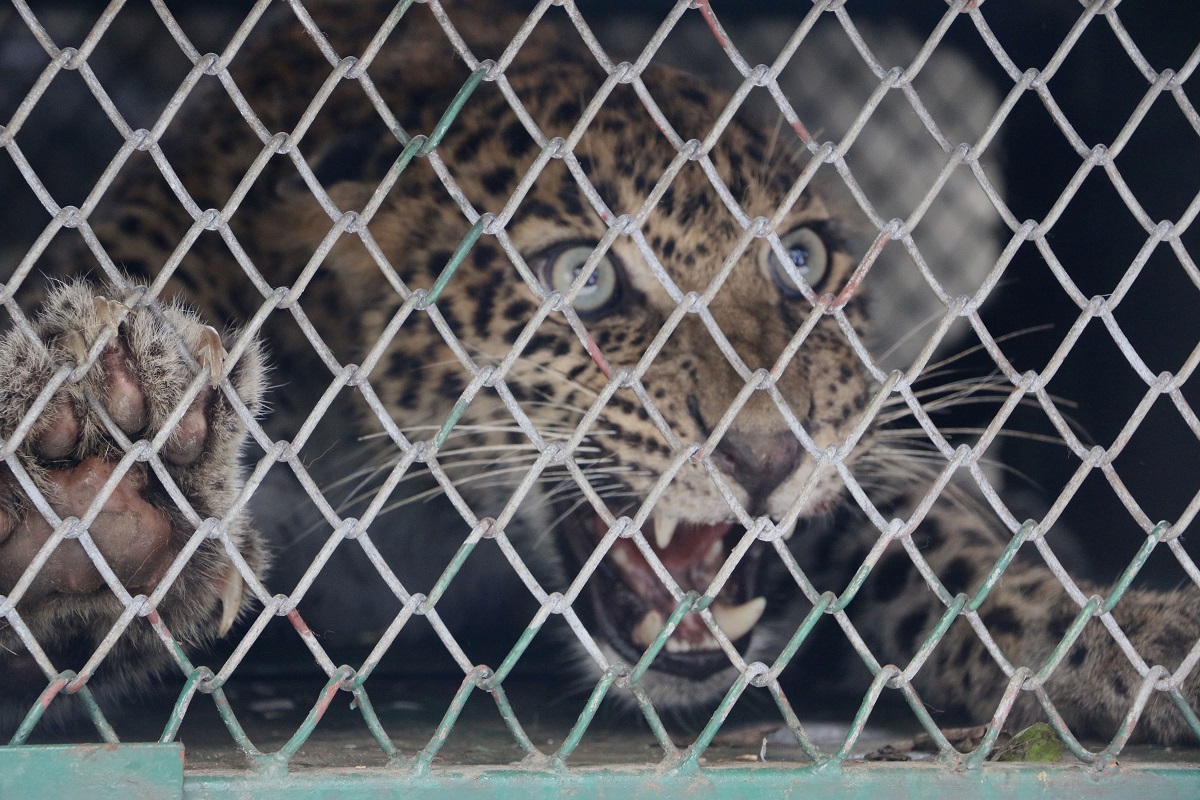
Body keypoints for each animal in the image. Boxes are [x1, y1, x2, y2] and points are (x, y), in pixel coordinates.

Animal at [2, 1, 1200, 753]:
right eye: (584, 279)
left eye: (803, 261)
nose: (768, 453)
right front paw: (99, 486)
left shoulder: (865, 454)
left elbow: (947, 543)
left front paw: (1135, 641)